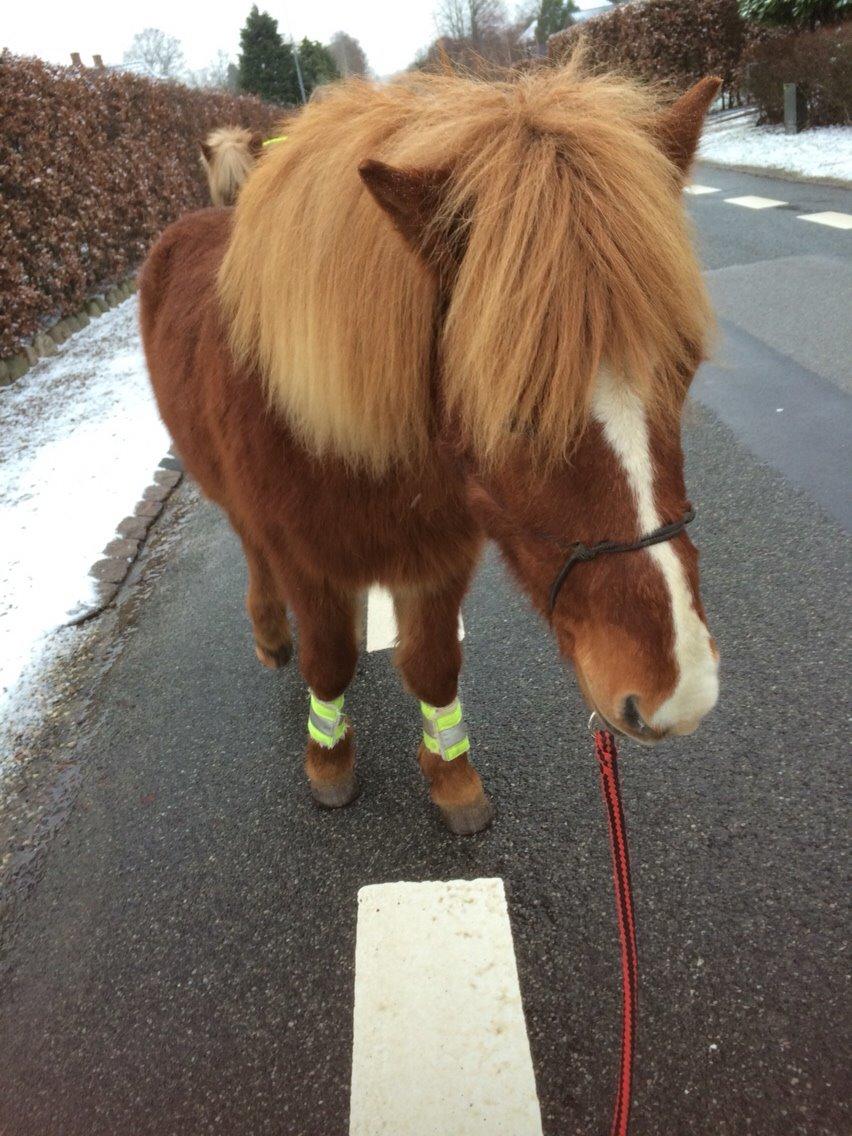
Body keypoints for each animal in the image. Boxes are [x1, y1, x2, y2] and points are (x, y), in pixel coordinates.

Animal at [140, 66, 722, 840]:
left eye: (685, 371)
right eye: (513, 408)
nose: (679, 695)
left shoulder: (438, 558)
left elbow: (435, 665)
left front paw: (452, 776)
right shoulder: (305, 557)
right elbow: (328, 664)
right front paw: (330, 761)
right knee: (252, 550)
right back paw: (269, 630)